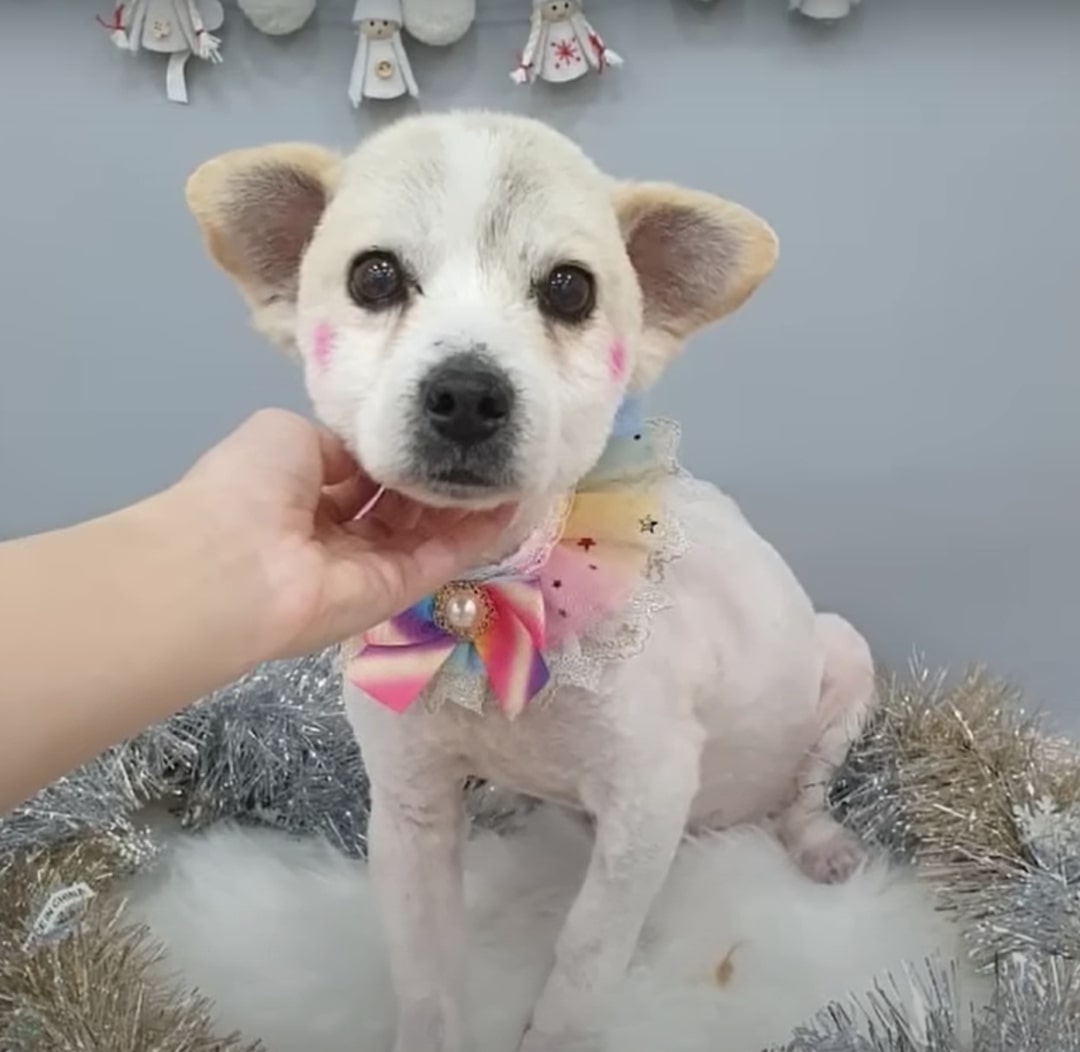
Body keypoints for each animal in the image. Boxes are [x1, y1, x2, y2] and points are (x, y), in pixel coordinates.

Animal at [185, 111, 876, 1049]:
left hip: (842, 668)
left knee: (803, 795)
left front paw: (557, 1027)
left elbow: (584, 958)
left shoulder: (648, 800)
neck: (489, 595)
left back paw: (816, 841)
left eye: (569, 291)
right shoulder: (409, 810)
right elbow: (425, 975)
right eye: (374, 276)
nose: (467, 393)